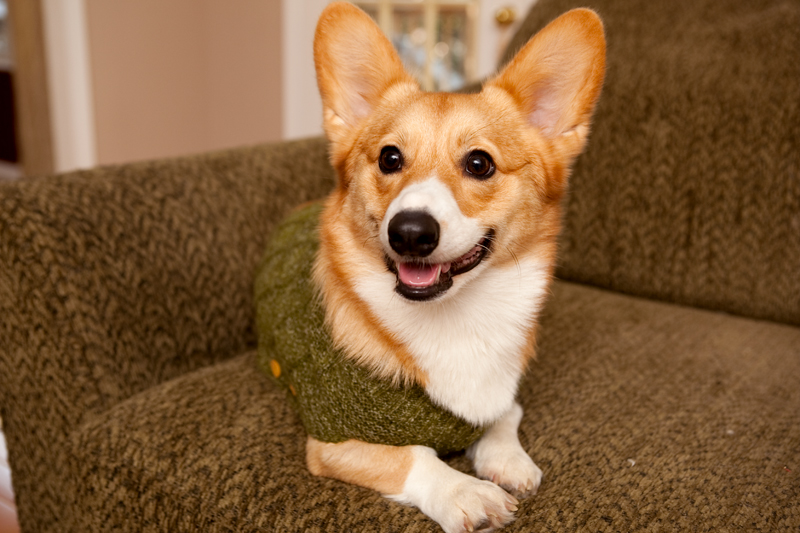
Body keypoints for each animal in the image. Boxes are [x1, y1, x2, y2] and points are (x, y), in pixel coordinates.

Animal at [304, 3, 604, 528]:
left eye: (480, 164)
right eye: (389, 158)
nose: (409, 232)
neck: (458, 317)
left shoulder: (504, 391)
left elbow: (505, 415)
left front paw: (507, 459)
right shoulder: (332, 441)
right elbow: (413, 456)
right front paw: (466, 491)